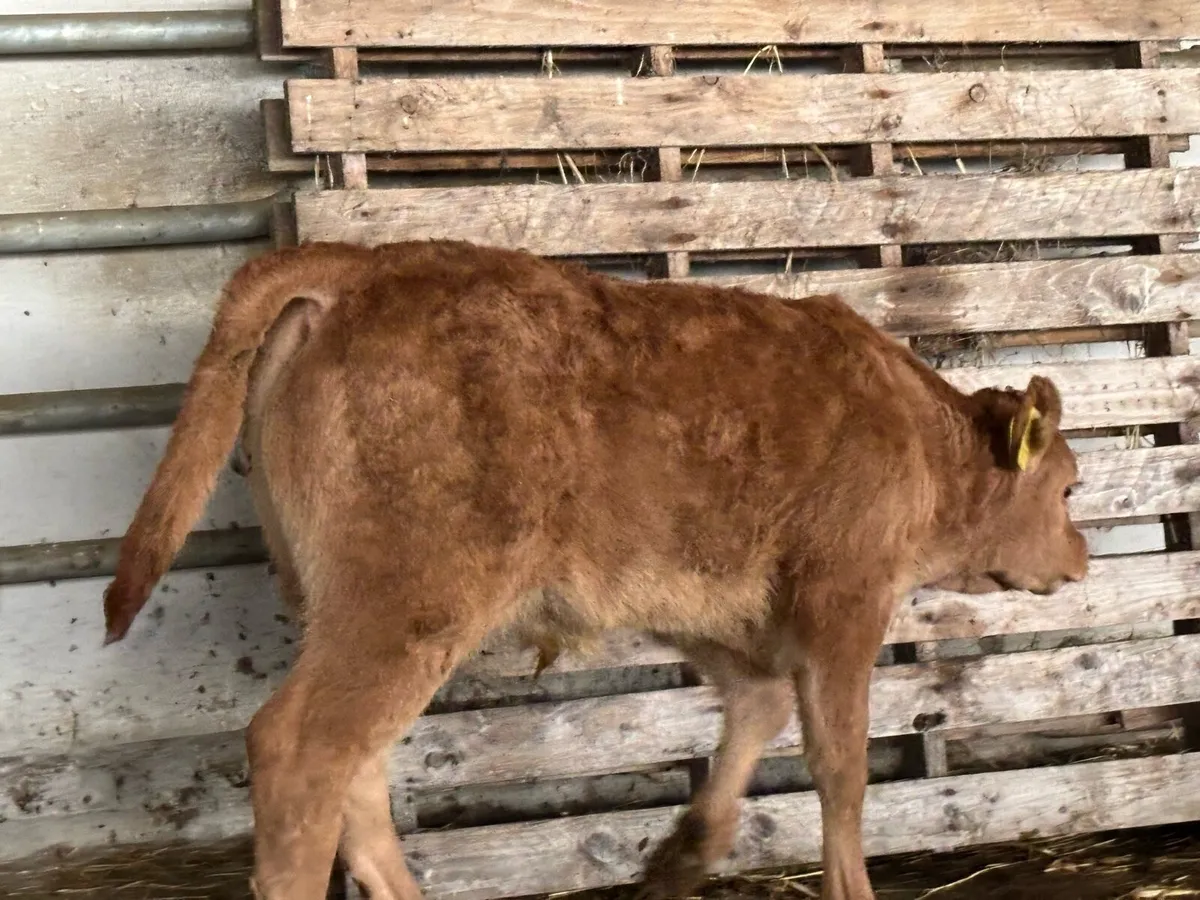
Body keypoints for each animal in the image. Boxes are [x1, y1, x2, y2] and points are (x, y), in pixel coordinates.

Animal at [101, 240, 1089, 900]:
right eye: (1072, 487)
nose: (1080, 560)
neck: (918, 435)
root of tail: (359, 266)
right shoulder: (844, 598)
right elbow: (840, 767)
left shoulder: (715, 613)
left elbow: (759, 707)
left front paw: (680, 859)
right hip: (407, 605)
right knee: (303, 753)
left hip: (339, 607)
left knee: (358, 772)